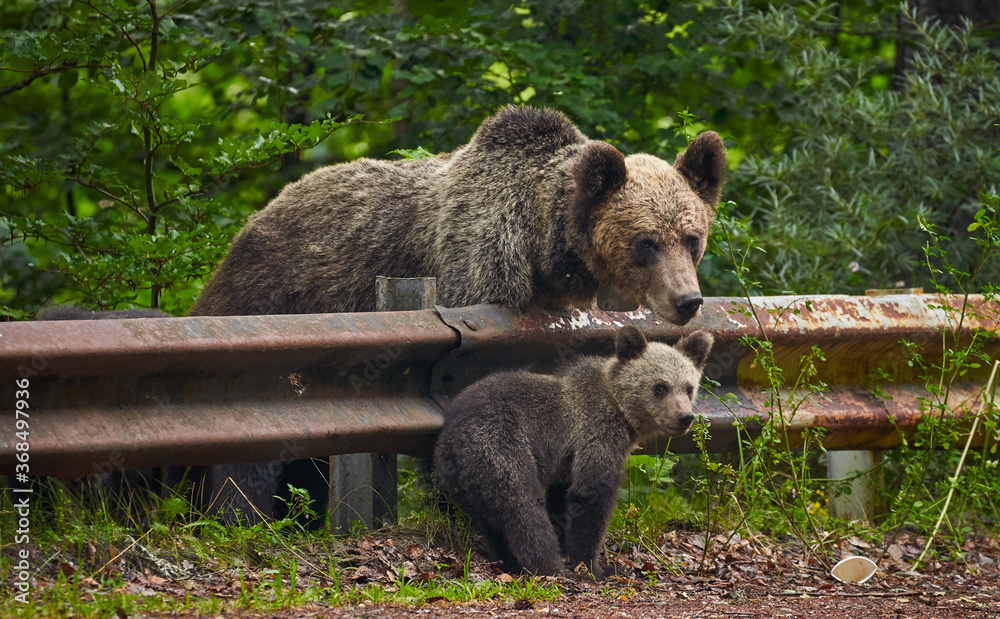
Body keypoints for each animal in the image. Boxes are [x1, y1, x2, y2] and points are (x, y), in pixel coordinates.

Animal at [433, 326, 714, 578]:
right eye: (660, 387)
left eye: (689, 388)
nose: (684, 417)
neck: (621, 411)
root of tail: (449, 439)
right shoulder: (597, 432)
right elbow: (592, 494)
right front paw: (595, 567)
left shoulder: (566, 461)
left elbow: (562, 497)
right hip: (500, 443)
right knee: (523, 506)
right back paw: (548, 566)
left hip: (466, 479)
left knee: (492, 518)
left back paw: (509, 560)